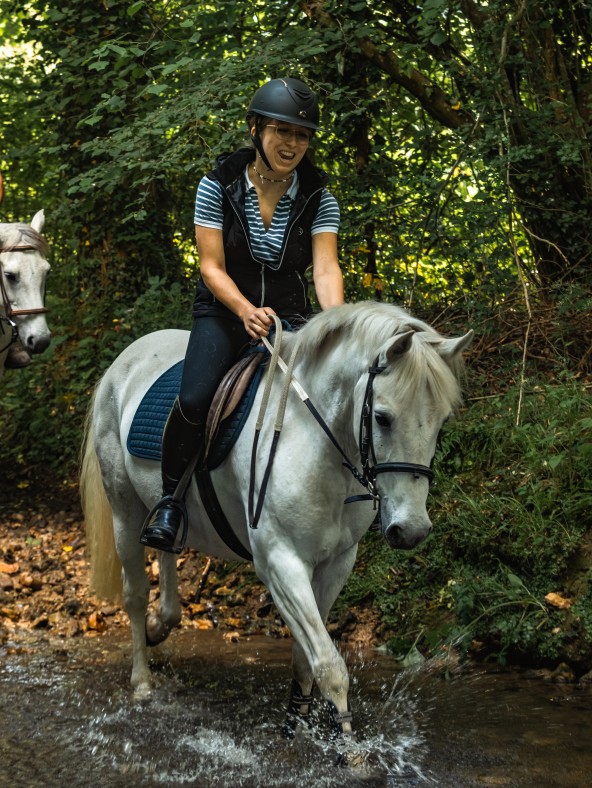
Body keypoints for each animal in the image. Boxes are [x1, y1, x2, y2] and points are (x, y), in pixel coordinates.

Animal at [80, 301, 473, 737]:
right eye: (383, 418)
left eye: (442, 421)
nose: (412, 530)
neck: (318, 444)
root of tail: (126, 359)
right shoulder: (280, 562)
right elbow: (330, 666)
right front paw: (349, 745)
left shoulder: (337, 563)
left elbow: (307, 656)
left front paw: (298, 723)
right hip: (123, 510)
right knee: (134, 593)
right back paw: (142, 681)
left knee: (166, 552)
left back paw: (159, 624)